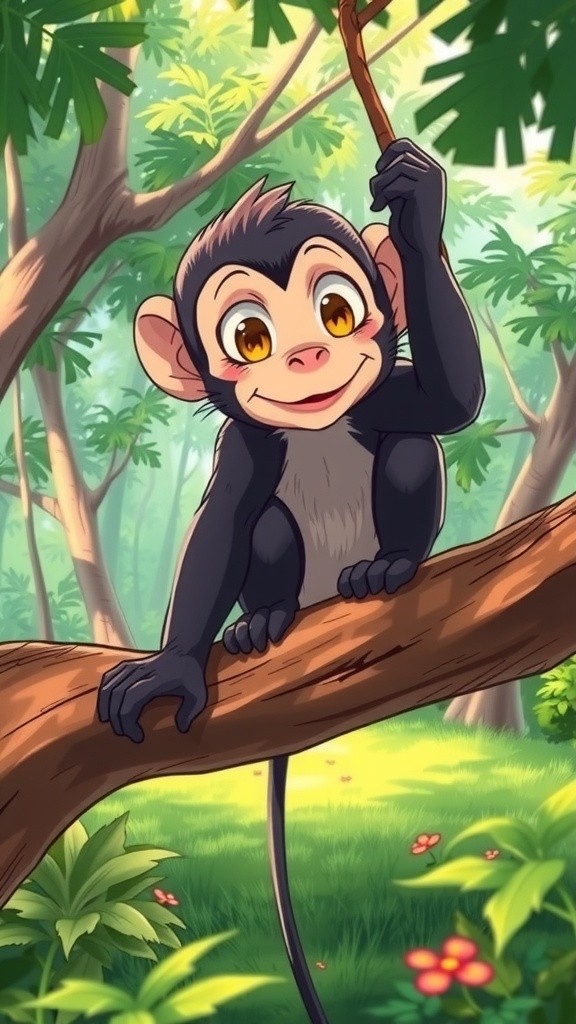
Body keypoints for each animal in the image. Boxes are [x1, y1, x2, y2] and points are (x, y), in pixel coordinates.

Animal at [98, 139, 484, 1024]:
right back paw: (263, 619)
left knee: (410, 448)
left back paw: (388, 568)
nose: (308, 356)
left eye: (337, 311)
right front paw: (176, 667)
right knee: (265, 525)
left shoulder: (380, 390)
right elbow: (221, 523)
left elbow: (447, 405)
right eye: (249, 335)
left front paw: (417, 207)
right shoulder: (243, 442)